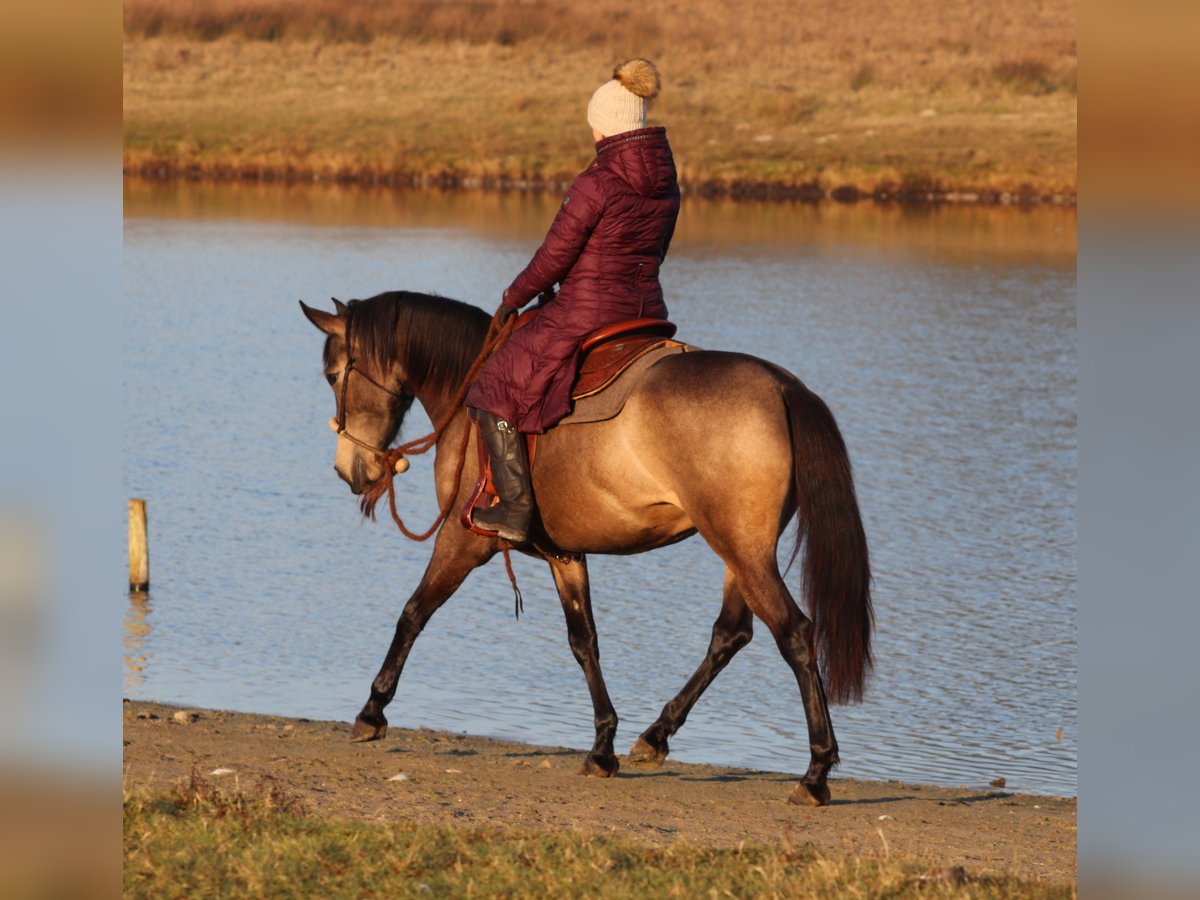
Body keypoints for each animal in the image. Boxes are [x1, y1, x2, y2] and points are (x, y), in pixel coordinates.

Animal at [300, 292, 873, 806]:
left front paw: (372, 710)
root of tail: (783, 387)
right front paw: (602, 745)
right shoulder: (564, 555)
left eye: (332, 376)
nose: (349, 470)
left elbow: (414, 613)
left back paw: (816, 774)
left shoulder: (462, 541)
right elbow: (584, 642)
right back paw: (656, 735)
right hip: (742, 553)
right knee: (731, 634)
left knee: (794, 635)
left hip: (744, 552)